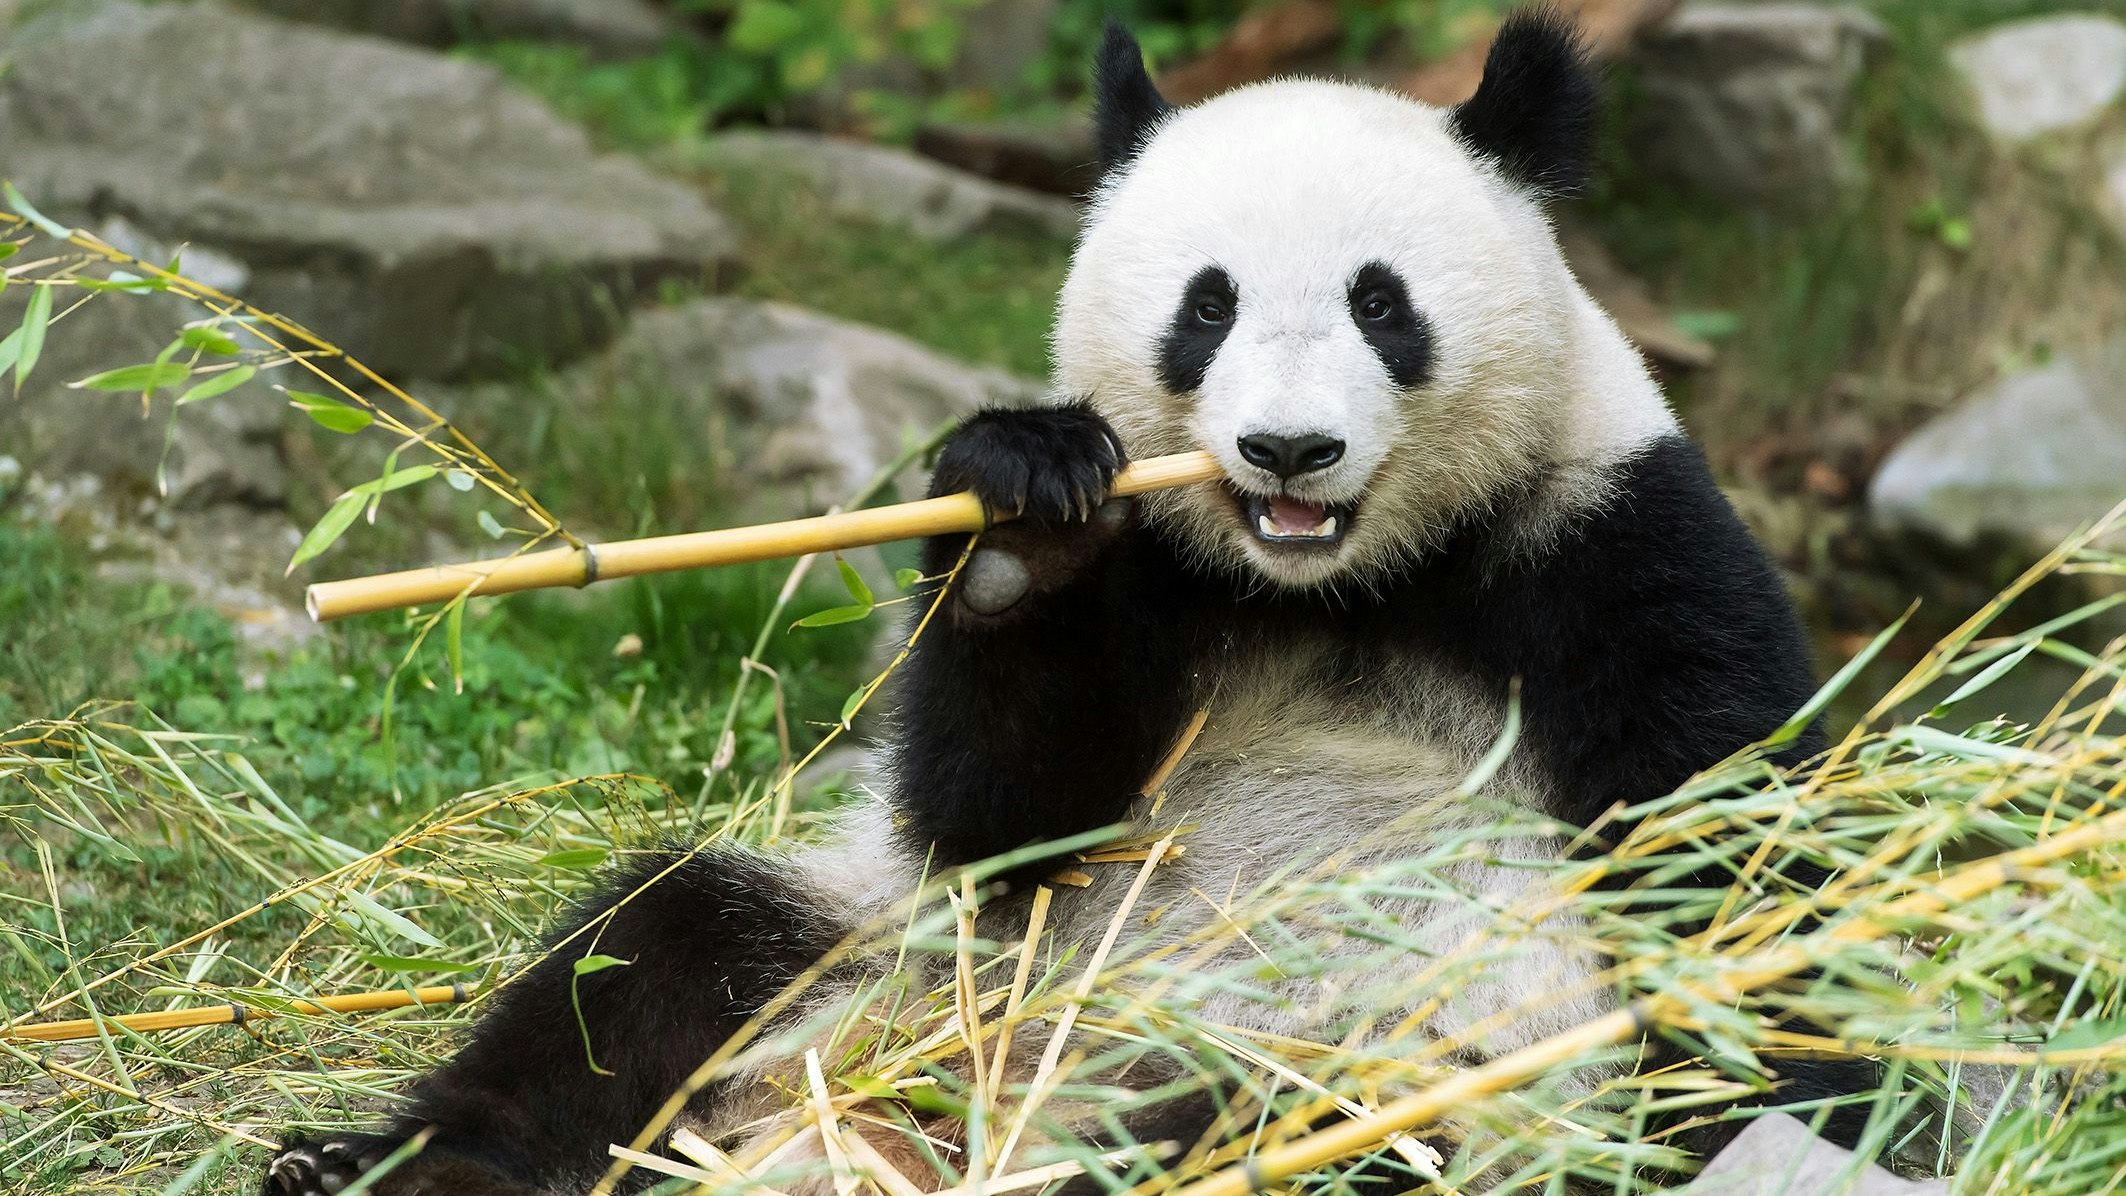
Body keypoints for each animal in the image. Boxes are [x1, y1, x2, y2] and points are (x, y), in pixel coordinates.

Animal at [263, 11, 1846, 1196]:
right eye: (1205, 305)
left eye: (1380, 302)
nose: (1285, 450)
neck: (1333, 585)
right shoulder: (1150, 588)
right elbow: (1001, 814)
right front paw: (1024, 520)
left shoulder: (1607, 545)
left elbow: (1742, 856)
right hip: (883, 948)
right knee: (652, 958)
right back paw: (391, 1165)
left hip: (1393, 1069)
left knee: (1299, 1130)